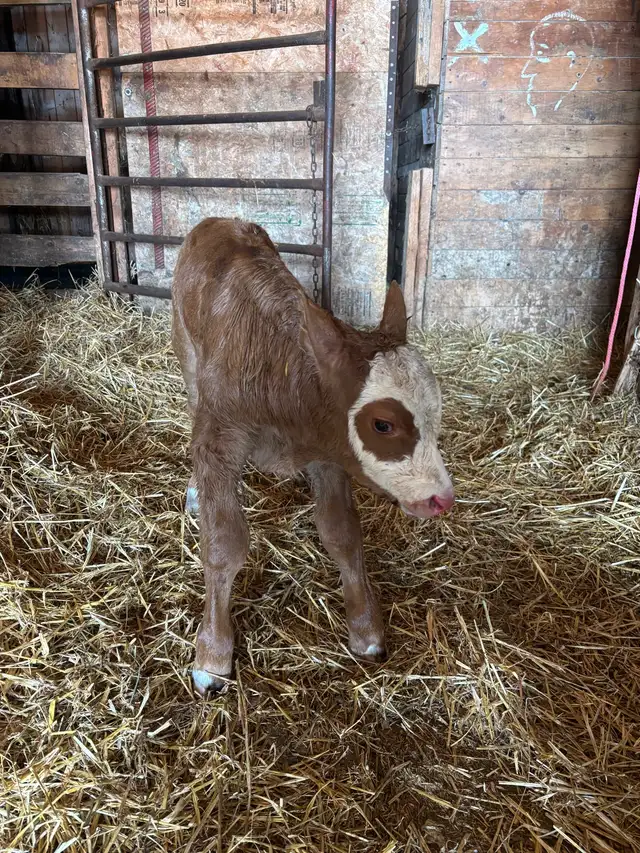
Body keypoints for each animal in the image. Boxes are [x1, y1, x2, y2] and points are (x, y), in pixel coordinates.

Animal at [171, 218, 454, 696]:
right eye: (383, 424)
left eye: (436, 409)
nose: (442, 498)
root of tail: (221, 221)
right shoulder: (218, 438)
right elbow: (225, 544)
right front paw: (212, 654)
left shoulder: (329, 453)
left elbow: (342, 533)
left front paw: (365, 629)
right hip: (187, 353)